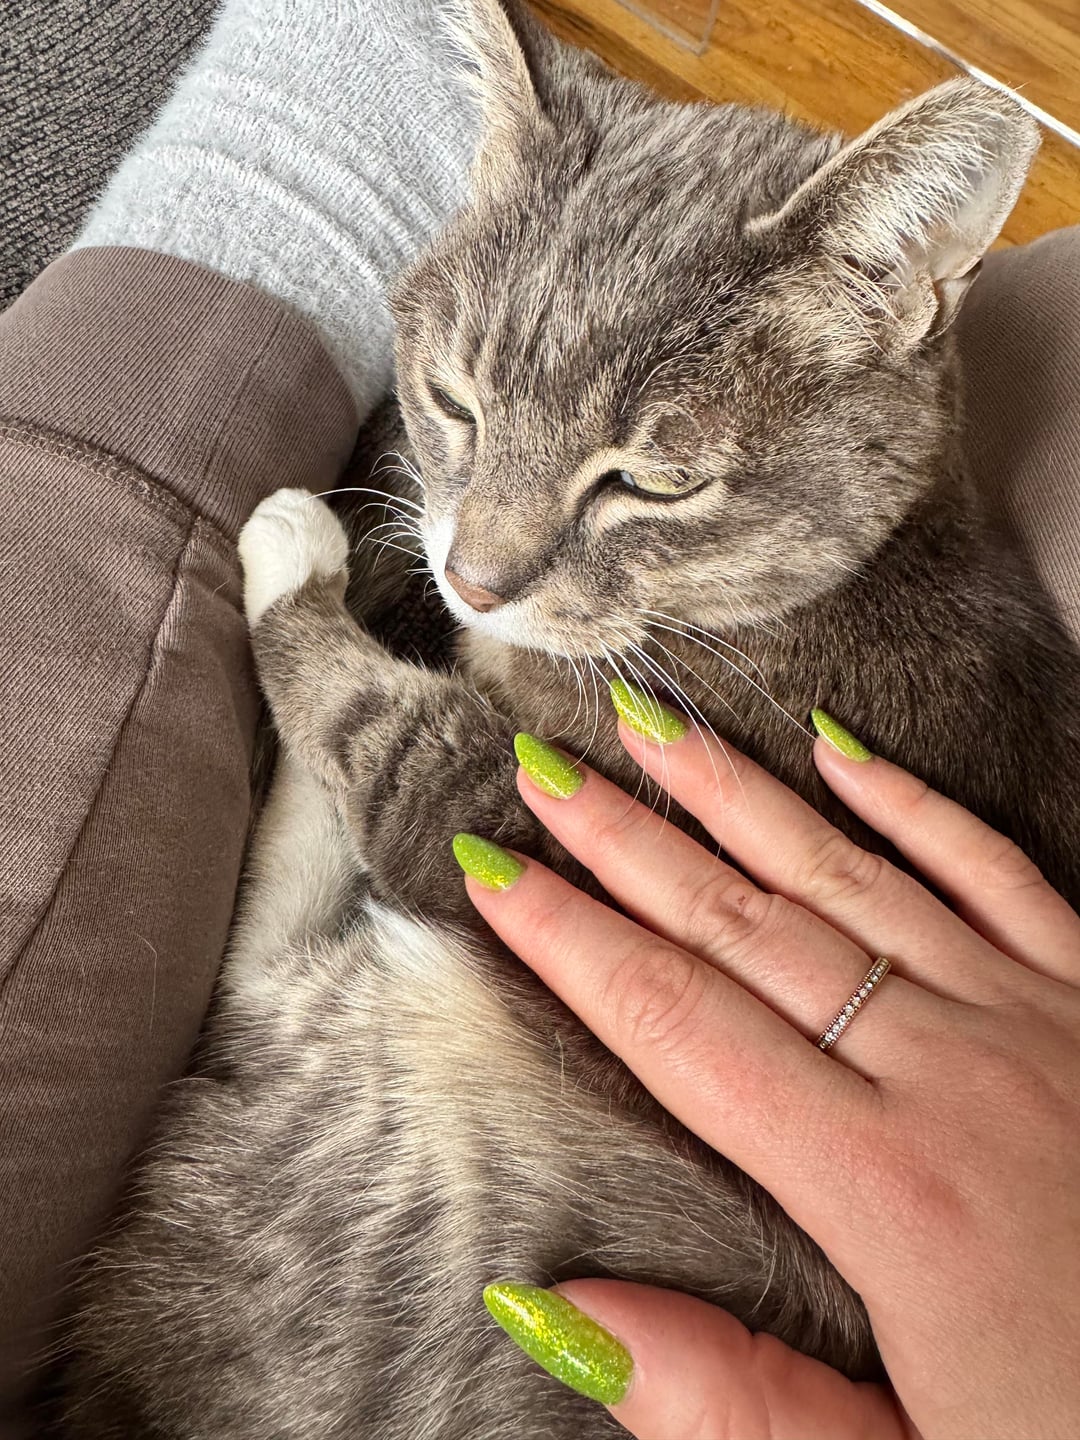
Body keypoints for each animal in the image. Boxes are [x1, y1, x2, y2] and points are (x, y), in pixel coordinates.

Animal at [60, 2, 1080, 1436]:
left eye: (652, 482)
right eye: (458, 401)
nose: (474, 579)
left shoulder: (515, 820)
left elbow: (387, 735)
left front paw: (312, 583)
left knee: (270, 979)